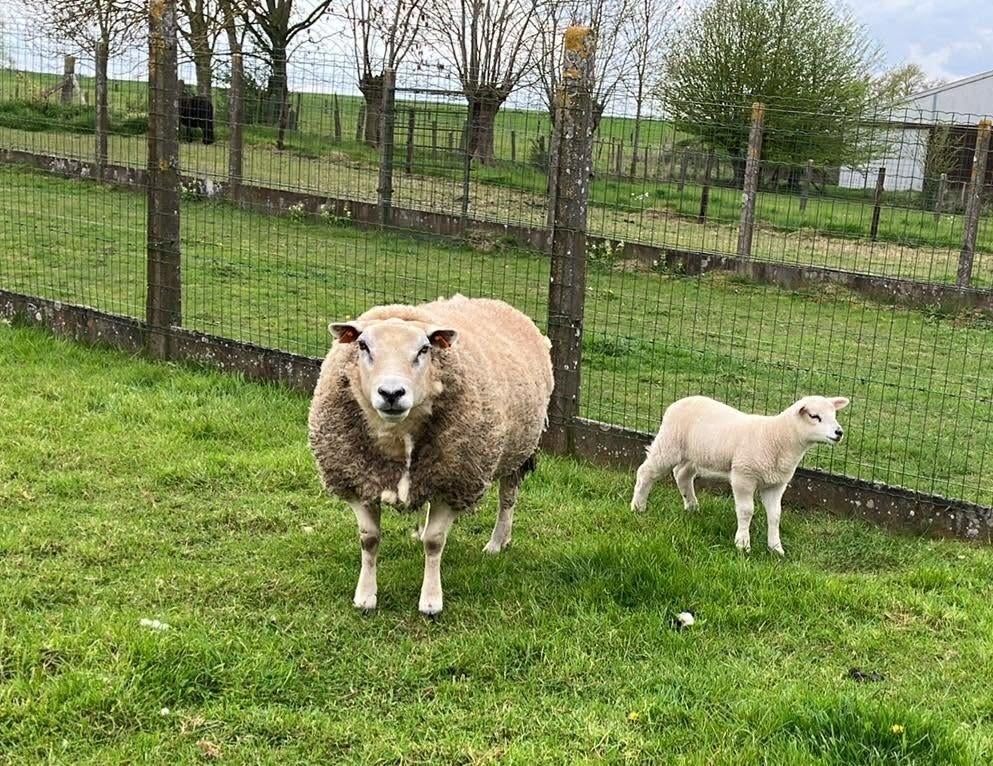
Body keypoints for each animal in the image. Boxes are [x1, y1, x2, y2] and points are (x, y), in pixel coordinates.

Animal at [308, 295, 554, 616]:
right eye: (363, 346)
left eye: (424, 349)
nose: (391, 393)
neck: (397, 436)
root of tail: (498, 302)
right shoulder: (358, 480)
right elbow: (369, 540)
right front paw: (365, 597)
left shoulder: (453, 483)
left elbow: (435, 543)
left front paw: (431, 601)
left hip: (518, 448)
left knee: (507, 499)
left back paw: (497, 542)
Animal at [630, 395, 850, 555]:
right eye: (814, 416)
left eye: (834, 414)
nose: (839, 432)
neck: (777, 437)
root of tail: (678, 402)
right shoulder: (743, 476)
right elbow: (746, 511)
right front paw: (743, 544)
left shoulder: (776, 484)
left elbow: (775, 516)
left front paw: (776, 548)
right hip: (669, 445)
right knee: (646, 472)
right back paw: (638, 506)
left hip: (696, 454)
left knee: (682, 474)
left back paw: (692, 507)